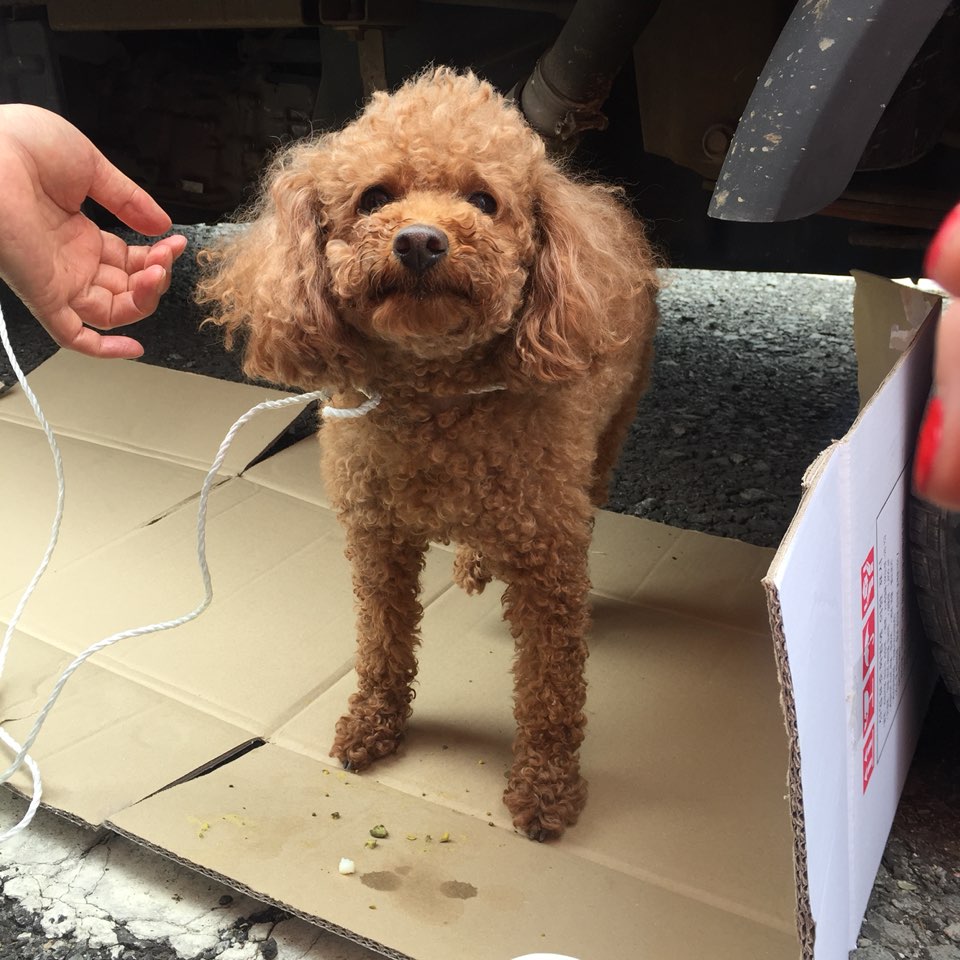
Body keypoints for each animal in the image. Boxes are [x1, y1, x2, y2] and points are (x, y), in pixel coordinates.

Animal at [197, 67, 659, 840]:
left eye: (484, 201)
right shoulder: (376, 540)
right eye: (374, 197)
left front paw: (546, 789)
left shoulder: (550, 563)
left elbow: (552, 689)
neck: (437, 401)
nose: (419, 241)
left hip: (608, 434)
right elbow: (382, 644)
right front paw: (372, 725)